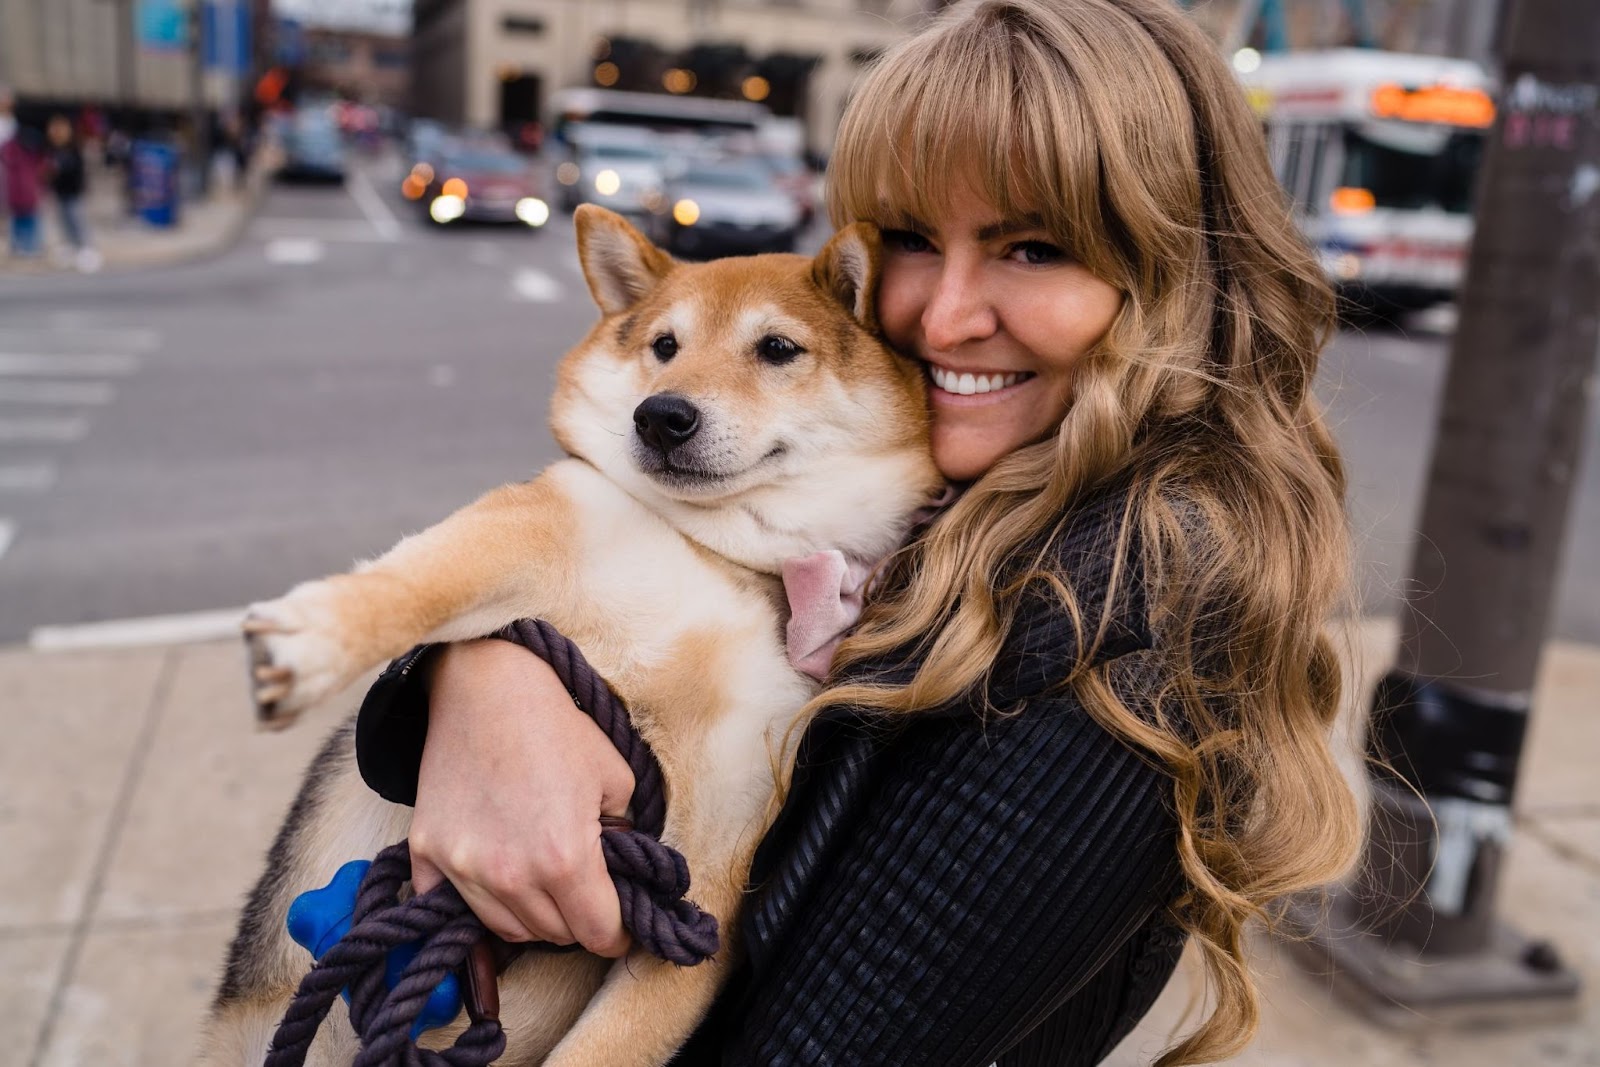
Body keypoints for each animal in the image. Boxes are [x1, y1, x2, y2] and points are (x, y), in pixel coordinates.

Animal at [204, 204, 940, 1062]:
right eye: (664, 345)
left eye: (779, 349)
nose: (661, 415)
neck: (722, 555)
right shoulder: (533, 529)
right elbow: (417, 581)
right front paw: (312, 638)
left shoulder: (707, 879)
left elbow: (607, 1045)